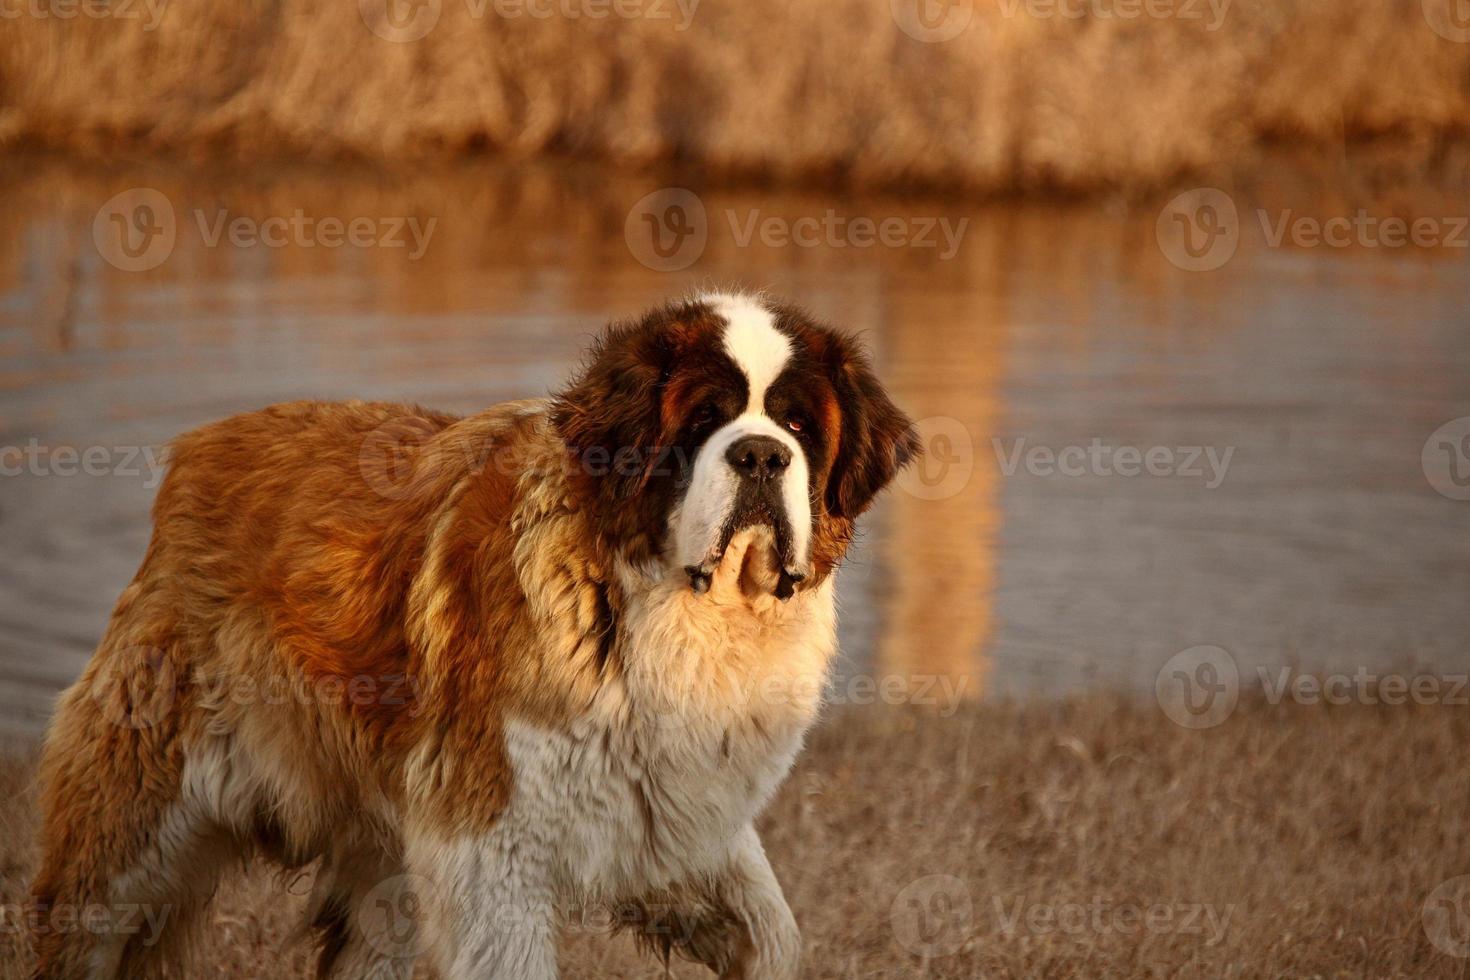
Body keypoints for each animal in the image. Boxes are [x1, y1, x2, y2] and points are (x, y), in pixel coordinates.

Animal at [28, 290, 911, 980]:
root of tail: (198, 451)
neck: (667, 606)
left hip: (383, 865)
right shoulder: (493, 851)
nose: (761, 454)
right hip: (129, 833)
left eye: (798, 424)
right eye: (702, 421)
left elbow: (774, 936)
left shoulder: (674, 816)